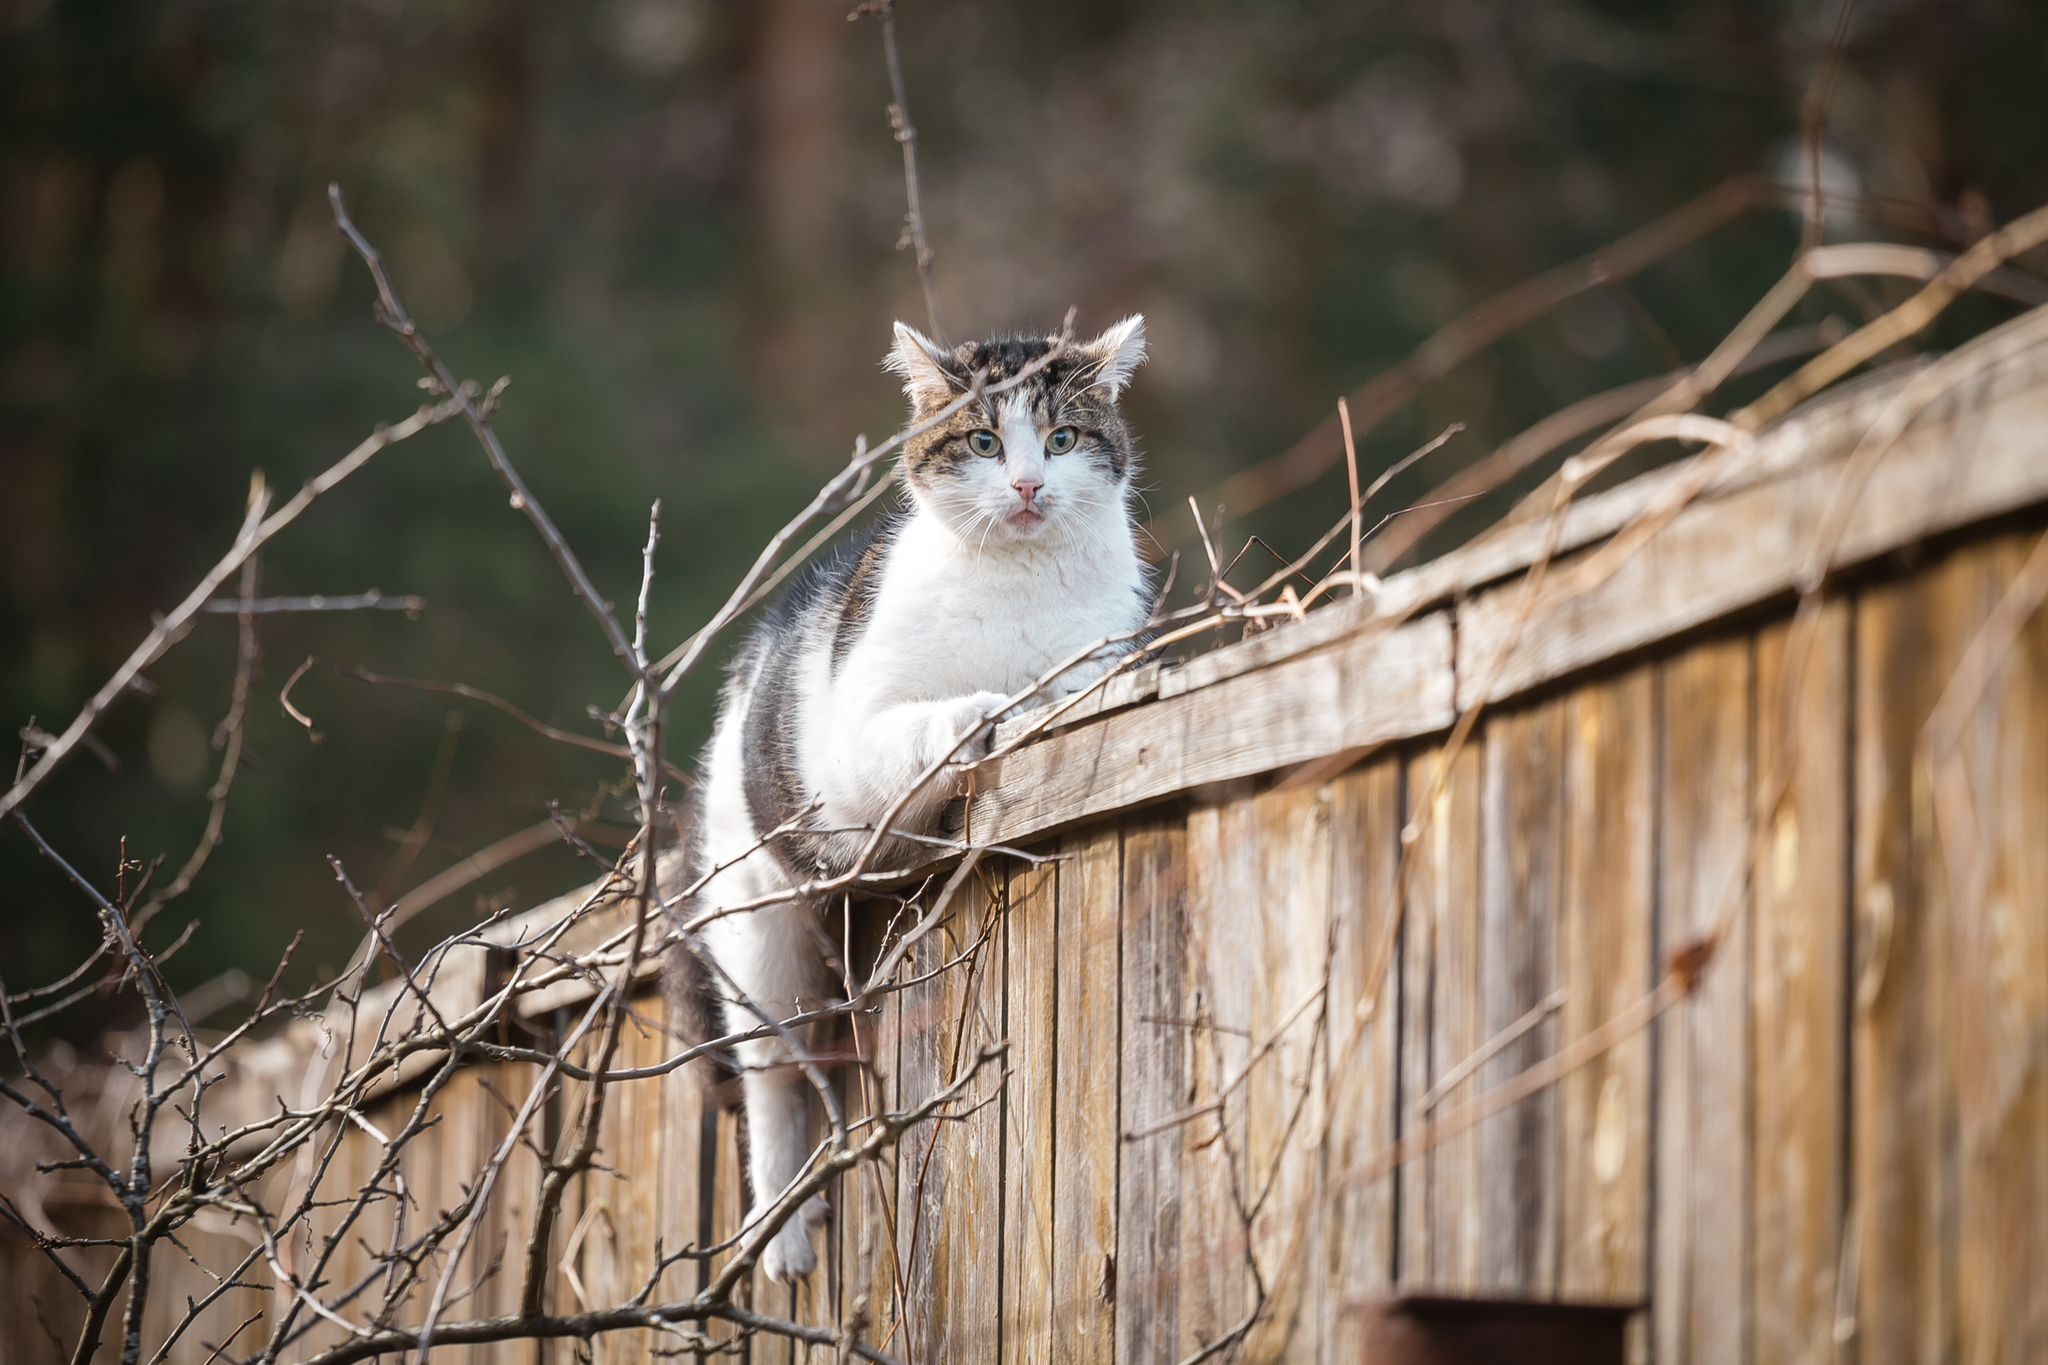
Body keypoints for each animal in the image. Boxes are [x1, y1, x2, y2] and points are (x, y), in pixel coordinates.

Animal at [675, 315, 1146, 1285]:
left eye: (1063, 438)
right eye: (985, 442)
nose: (1029, 483)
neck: (1018, 584)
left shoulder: (1104, 652)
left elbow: (1077, 680)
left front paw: (1042, 694)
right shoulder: (853, 751)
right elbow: (953, 713)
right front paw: (999, 706)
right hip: (758, 927)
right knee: (775, 1076)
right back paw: (782, 1230)